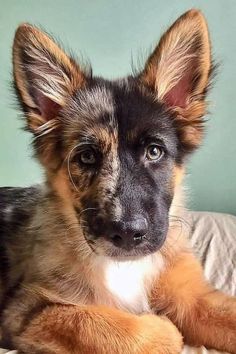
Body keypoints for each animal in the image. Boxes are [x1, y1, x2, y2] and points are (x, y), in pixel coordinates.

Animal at [0, 8, 236, 354]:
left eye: (154, 151)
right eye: (86, 157)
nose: (126, 234)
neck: (125, 268)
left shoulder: (195, 297)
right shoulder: (27, 310)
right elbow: (115, 328)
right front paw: (161, 326)